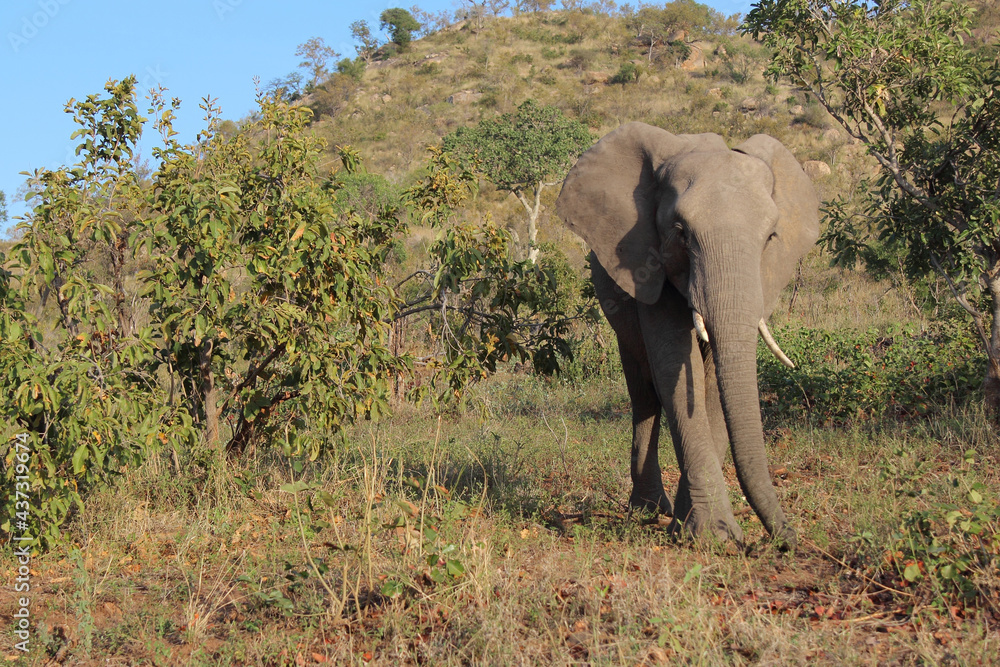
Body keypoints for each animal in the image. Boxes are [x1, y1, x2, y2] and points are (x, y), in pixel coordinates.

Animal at [556, 122, 819, 548]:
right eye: (681, 233)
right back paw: (646, 512)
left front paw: (699, 529)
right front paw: (711, 536)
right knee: (644, 391)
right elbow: (674, 367)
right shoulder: (646, 259)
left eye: (771, 237)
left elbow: (711, 383)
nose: (787, 540)